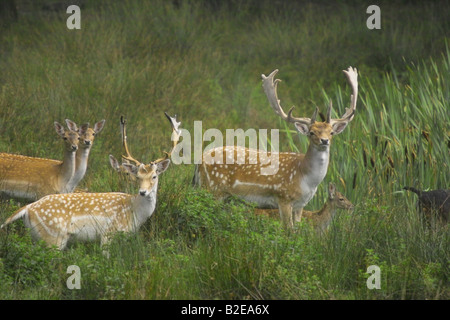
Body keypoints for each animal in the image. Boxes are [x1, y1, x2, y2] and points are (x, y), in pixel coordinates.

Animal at [2, 112, 181, 252]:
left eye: (154, 176)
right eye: (137, 176)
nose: (142, 192)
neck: (134, 211)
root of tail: (27, 209)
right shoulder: (108, 234)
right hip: (53, 237)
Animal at [193, 67, 358, 230]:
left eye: (331, 132)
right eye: (311, 132)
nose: (324, 141)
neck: (306, 179)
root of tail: (200, 161)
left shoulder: (300, 205)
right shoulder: (283, 197)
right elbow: (288, 230)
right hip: (212, 188)